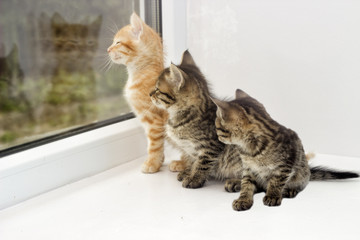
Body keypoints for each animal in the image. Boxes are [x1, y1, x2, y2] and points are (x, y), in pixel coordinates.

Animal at [107, 12, 186, 172]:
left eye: (117, 43)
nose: (107, 50)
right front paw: (159, 161)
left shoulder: (153, 120)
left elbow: (154, 145)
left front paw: (152, 164)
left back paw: (182, 163)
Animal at [149, 50, 242, 188]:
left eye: (157, 90)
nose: (149, 94)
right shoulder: (189, 150)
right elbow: (192, 161)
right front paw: (188, 172)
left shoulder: (210, 146)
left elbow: (202, 164)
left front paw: (195, 178)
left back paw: (236, 182)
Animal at [212, 89, 358, 210]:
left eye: (217, 127)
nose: (217, 136)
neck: (250, 149)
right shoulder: (248, 169)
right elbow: (247, 184)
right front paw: (243, 199)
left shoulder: (286, 163)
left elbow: (276, 181)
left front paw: (272, 195)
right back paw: (236, 183)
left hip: (301, 174)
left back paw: (289, 190)